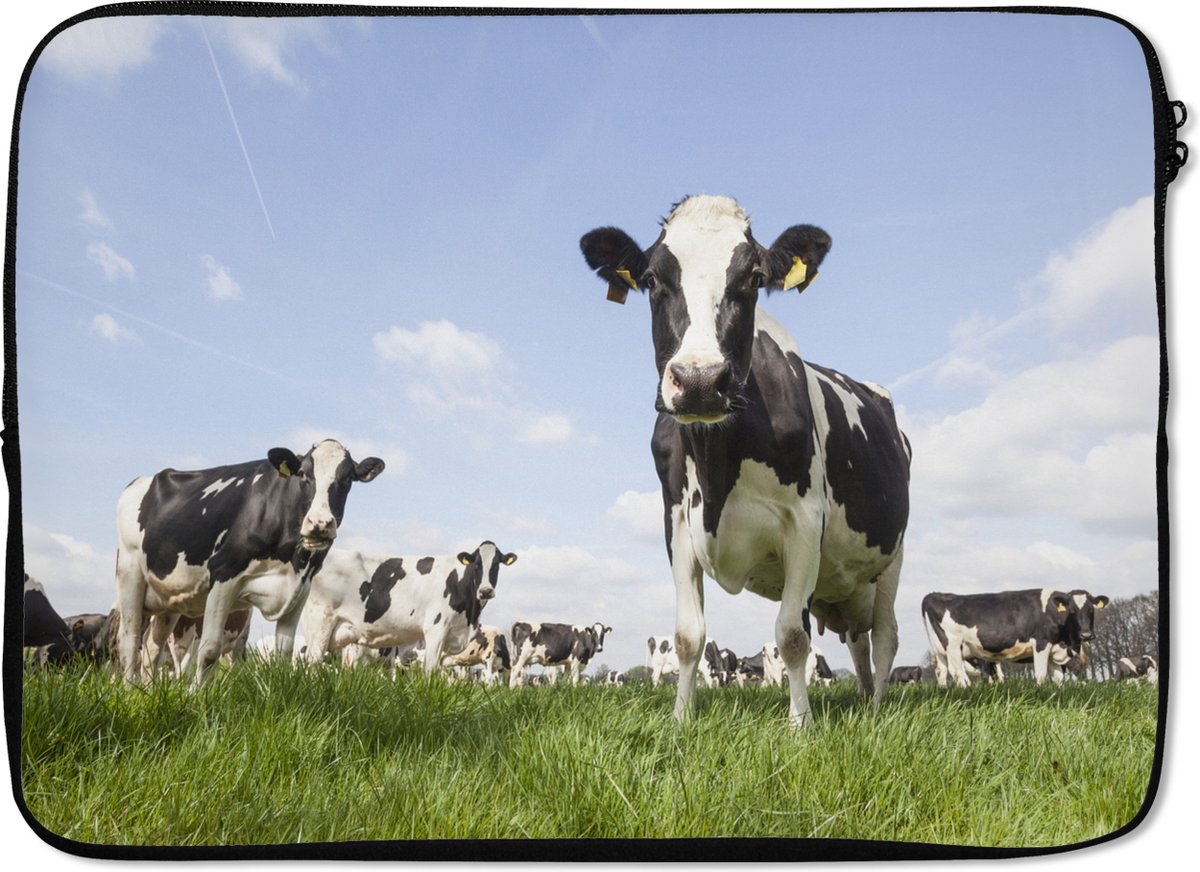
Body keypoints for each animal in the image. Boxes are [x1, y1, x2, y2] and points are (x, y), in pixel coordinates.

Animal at [115, 439, 385, 685]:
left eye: (347, 479)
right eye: (302, 474)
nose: (319, 523)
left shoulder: (300, 588)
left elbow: (283, 653)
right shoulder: (223, 573)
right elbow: (210, 650)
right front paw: (196, 696)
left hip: (169, 597)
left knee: (152, 647)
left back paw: (147, 690)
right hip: (130, 574)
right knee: (129, 641)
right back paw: (129, 692)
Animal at [300, 541, 516, 672]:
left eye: (496, 565)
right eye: (477, 565)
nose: (486, 591)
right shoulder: (436, 629)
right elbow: (430, 671)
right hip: (320, 623)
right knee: (312, 662)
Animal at [581, 195, 911, 727]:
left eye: (754, 278)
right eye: (651, 278)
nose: (699, 380)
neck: (718, 465)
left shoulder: (805, 520)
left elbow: (792, 636)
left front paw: (801, 724)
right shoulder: (677, 521)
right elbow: (688, 635)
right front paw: (680, 720)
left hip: (892, 558)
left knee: (884, 637)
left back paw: (878, 706)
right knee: (859, 643)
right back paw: (863, 698)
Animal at [921, 589, 1108, 687]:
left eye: (1091, 609)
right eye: (1072, 610)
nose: (1086, 634)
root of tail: (934, 594)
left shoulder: (1053, 651)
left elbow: (1058, 678)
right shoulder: (1041, 643)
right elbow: (1040, 674)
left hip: (942, 650)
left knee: (943, 673)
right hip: (953, 644)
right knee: (957, 671)